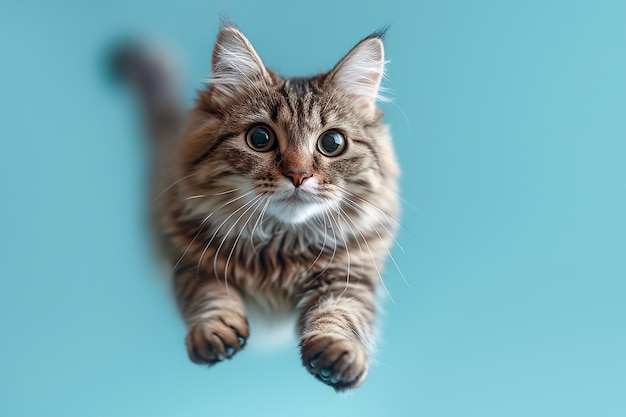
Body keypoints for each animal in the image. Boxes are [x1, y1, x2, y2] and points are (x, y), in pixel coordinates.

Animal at [114, 24, 398, 390]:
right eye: (260, 138)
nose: (299, 175)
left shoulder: (351, 275)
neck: (281, 246)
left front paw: (336, 354)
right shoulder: (192, 261)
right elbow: (211, 296)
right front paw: (215, 332)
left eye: (332, 143)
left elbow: (341, 313)